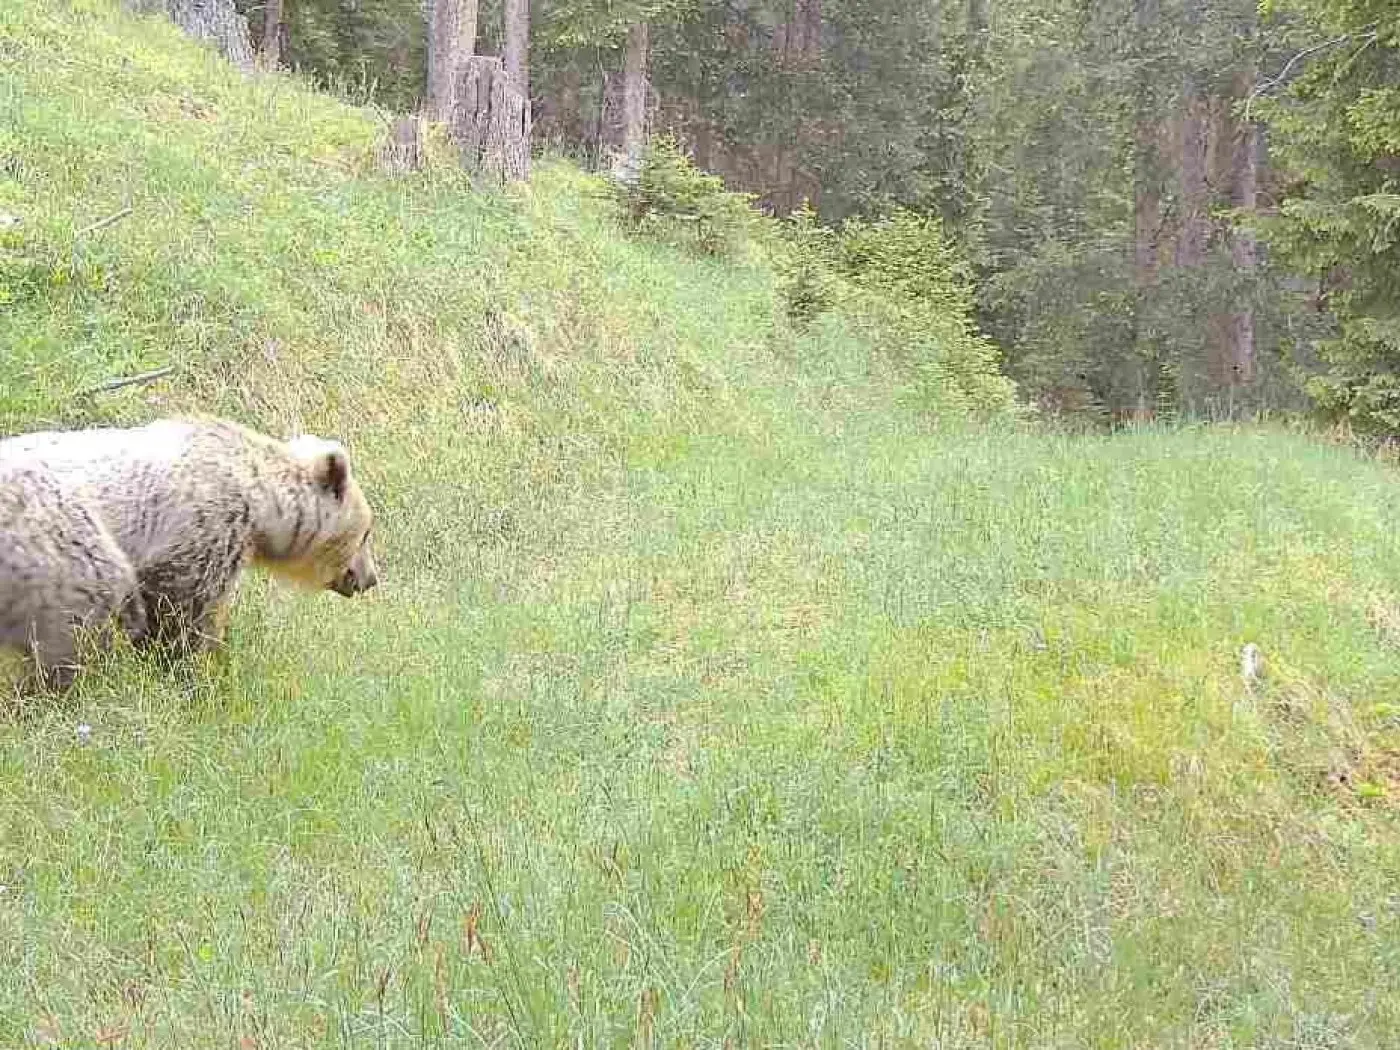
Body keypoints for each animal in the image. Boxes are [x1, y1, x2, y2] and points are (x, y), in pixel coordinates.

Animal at [0, 416, 379, 690]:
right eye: (366, 533)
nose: (370, 578)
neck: (262, 507)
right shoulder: (205, 527)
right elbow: (183, 615)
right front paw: (193, 672)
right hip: (53, 542)